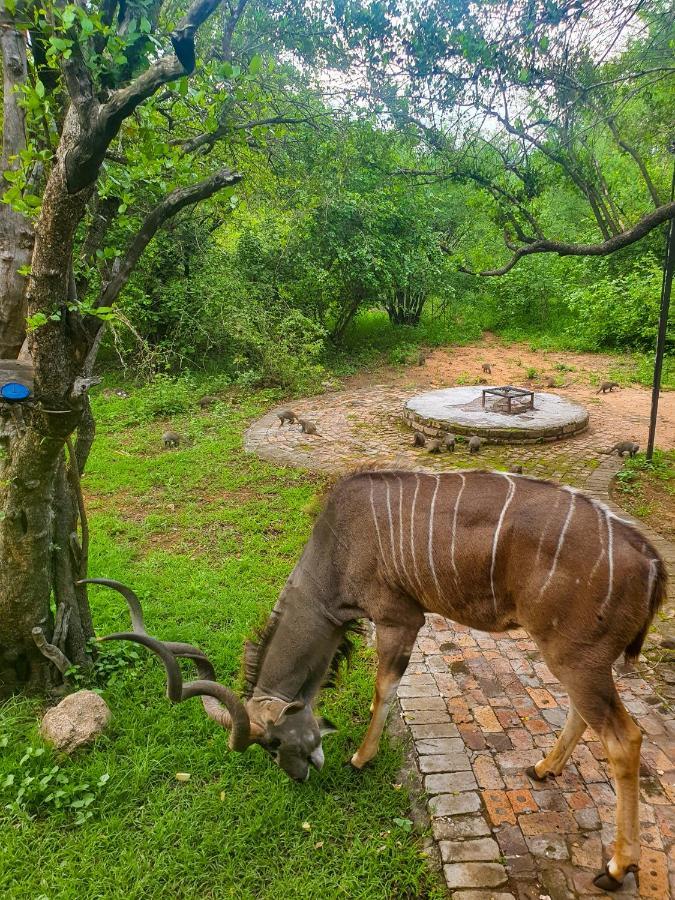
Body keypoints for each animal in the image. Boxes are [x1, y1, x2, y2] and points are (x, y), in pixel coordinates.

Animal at [88, 472, 664, 892]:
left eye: (272, 743)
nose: (300, 776)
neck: (335, 553)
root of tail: (650, 559)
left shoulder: (398, 619)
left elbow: (383, 688)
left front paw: (360, 758)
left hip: (576, 658)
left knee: (625, 736)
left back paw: (616, 869)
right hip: (575, 660)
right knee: (586, 715)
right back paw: (543, 768)